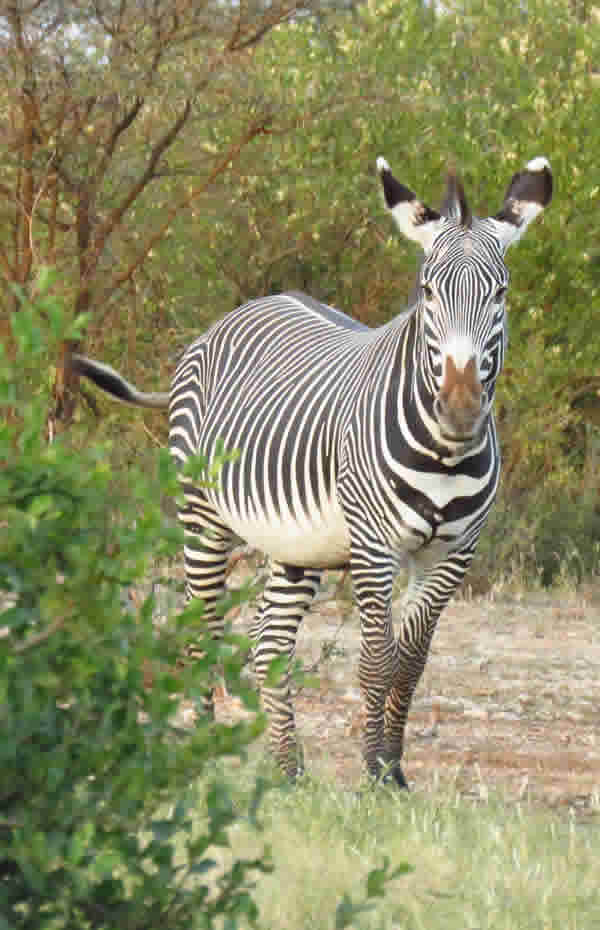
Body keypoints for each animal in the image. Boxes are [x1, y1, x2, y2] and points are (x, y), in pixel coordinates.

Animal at [72, 154, 552, 787]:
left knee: (269, 645)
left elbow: (410, 663)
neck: (444, 452)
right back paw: (203, 750)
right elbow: (376, 662)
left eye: (500, 292)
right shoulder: (374, 546)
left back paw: (288, 769)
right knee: (201, 633)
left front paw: (393, 772)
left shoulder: (453, 553)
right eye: (427, 292)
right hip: (201, 516)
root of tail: (241, 311)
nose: (460, 405)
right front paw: (373, 774)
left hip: (295, 544)